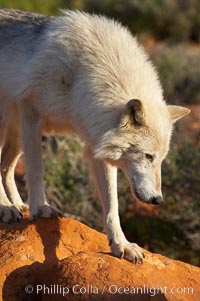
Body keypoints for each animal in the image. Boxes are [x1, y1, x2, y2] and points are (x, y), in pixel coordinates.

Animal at [0, 8, 190, 262]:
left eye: (160, 160)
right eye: (148, 156)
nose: (157, 200)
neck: (83, 76)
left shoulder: (97, 142)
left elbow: (112, 205)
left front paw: (121, 244)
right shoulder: (31, 112)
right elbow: (37, 170)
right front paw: (40, 208)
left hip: (17, 134)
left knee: (5, 167)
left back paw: (18, 205)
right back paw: (6, 207)